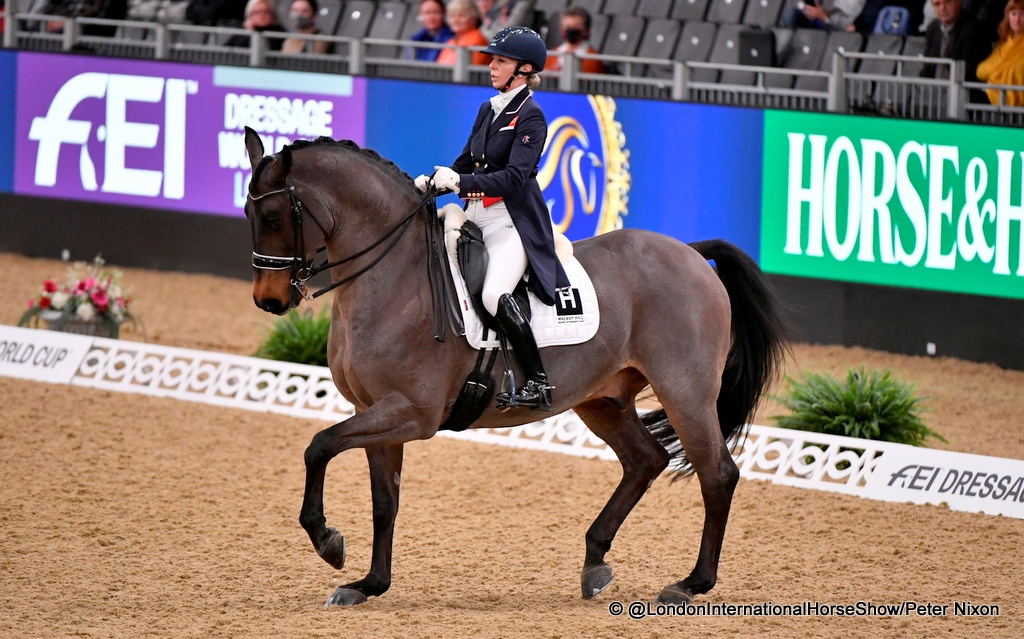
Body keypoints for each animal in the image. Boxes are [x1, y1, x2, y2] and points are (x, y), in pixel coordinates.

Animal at [241, 127, 787, 607]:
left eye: (273, 213)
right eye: (248, 210)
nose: (269, 300)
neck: (394, 278)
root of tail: (691, 254)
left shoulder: (412, 414)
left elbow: (319, 446)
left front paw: (328, 542)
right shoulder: (375, 412)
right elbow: (384, 502)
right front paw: (367, 584)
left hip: (685, 392)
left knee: (716, 473)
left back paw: (691, 583)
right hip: (604, 399)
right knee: (645, 460)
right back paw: (595, 562)